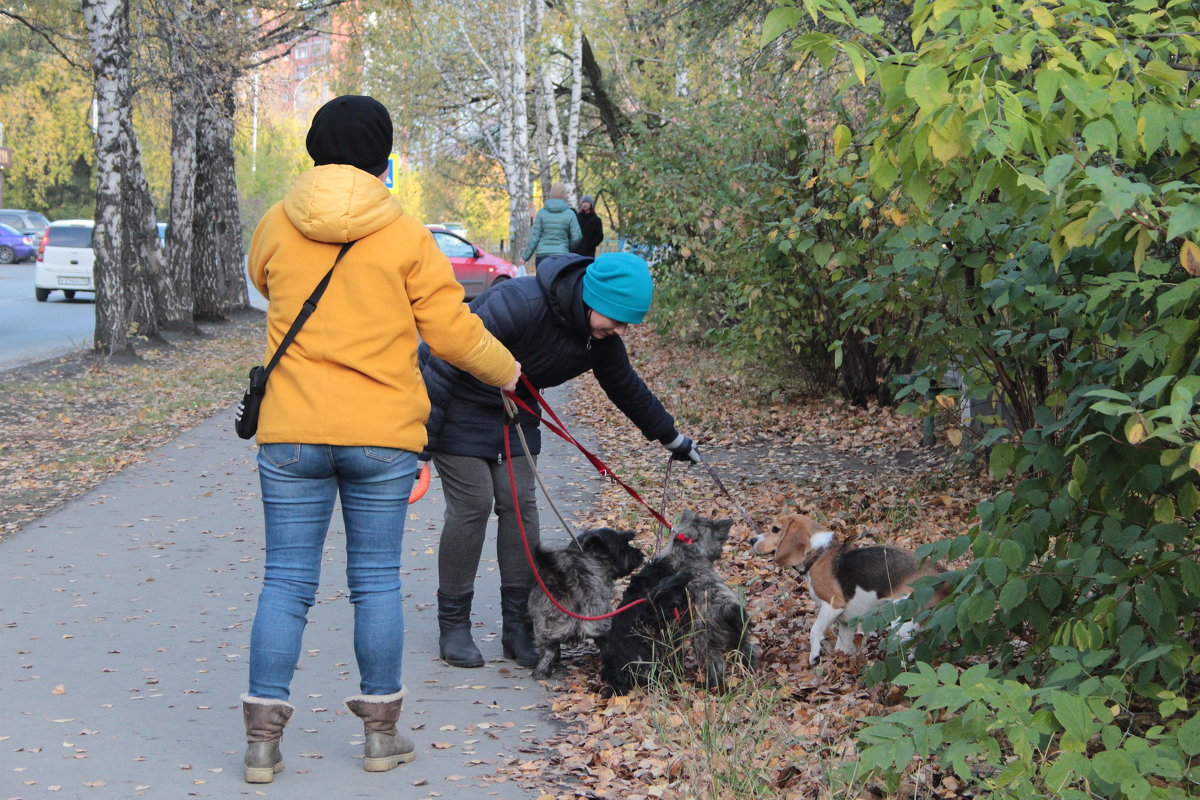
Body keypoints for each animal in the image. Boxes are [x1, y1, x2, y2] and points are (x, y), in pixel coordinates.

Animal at [528, 527, 648, 681]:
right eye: (623, 547)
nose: (639, 553)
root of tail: (571, 582)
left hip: (544, 626)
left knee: (549, 649)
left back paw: (542, 671)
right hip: (600, 620)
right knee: (607, 646)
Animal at [657, 513, 758, 690]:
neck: (686, 549)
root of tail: (727, 608)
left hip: (704, 643)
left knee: (715, 669)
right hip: (740, 636)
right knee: (748, 652)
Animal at [748, 515, 945, 666]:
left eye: (775, 529)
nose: (751, 540)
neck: (819, 555)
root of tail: (939, 573)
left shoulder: (833, 605)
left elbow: (815, 631)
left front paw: (814, 655)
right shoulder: (846, 621)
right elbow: (841, 648)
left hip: (903, 620)